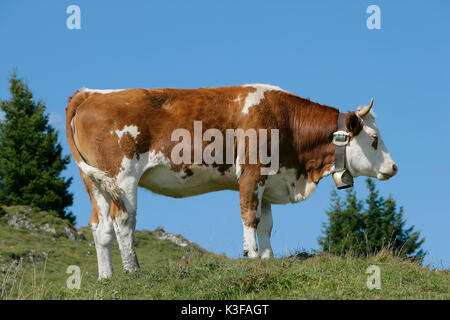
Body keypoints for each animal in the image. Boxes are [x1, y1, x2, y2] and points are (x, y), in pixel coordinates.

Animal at [64, 84, 398, 278]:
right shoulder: (251, 172)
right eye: (374, 138)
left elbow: (267, 223)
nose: (393, 167)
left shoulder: (269, 179)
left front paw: (268, 259)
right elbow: (250, 216)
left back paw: (106, 277)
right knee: (123, 220)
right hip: (122, 176)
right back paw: (133, 271)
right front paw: (252, 256)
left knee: (100, 226)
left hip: (94, 182)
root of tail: (89, 93)